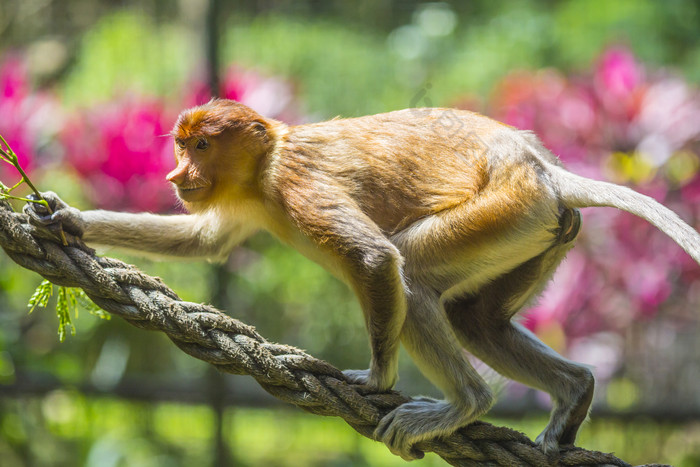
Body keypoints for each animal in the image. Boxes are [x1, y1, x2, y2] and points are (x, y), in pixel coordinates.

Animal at [26, 98, 700, 460]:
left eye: (201, 146)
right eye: (180, 145)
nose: (175, 177)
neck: (269, 160)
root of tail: (546, 171)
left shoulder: (296, 187)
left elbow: (376, 259)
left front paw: (375, 380)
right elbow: (206, 241)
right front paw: (63, 217)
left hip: (509, 211)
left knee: (415, 275)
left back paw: (466, 403)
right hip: (540, 231)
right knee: (475, 318)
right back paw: (573, 391)